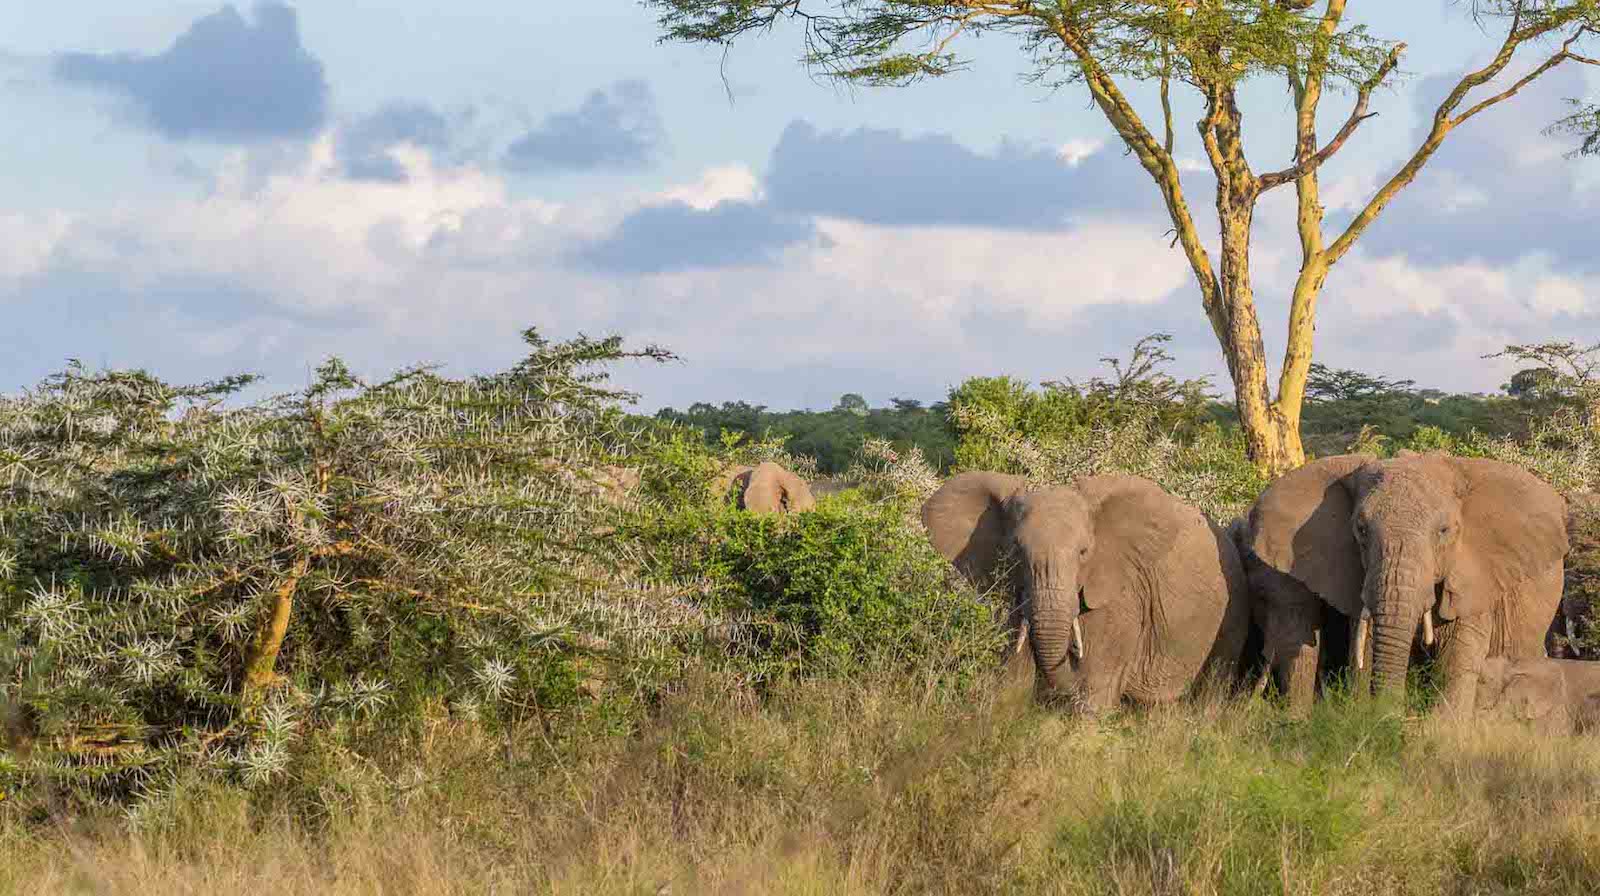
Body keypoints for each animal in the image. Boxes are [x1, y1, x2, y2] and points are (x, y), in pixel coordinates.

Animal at [1241, 451, 1568, 710]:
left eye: (1444, 531)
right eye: (1360, 529)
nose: (1392, 713)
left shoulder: (1473, 572)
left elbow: (1457, 652)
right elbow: (1367, 643)